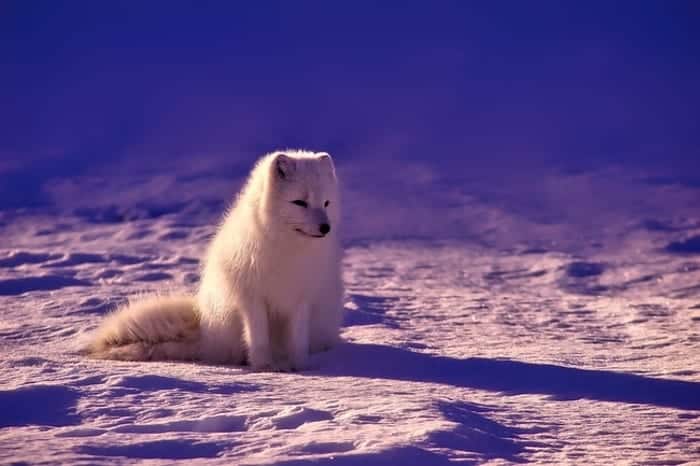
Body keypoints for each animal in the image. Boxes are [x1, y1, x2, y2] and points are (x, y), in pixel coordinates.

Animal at [87, 151, 344, 374]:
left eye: (326, 203)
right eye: (299, 202)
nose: (326, 228)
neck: (288, 249)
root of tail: (205, 331)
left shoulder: (302, 297)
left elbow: (298, 340)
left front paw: (299, 366)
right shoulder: (251, 297)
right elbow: (258, 337)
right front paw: (265, 366)